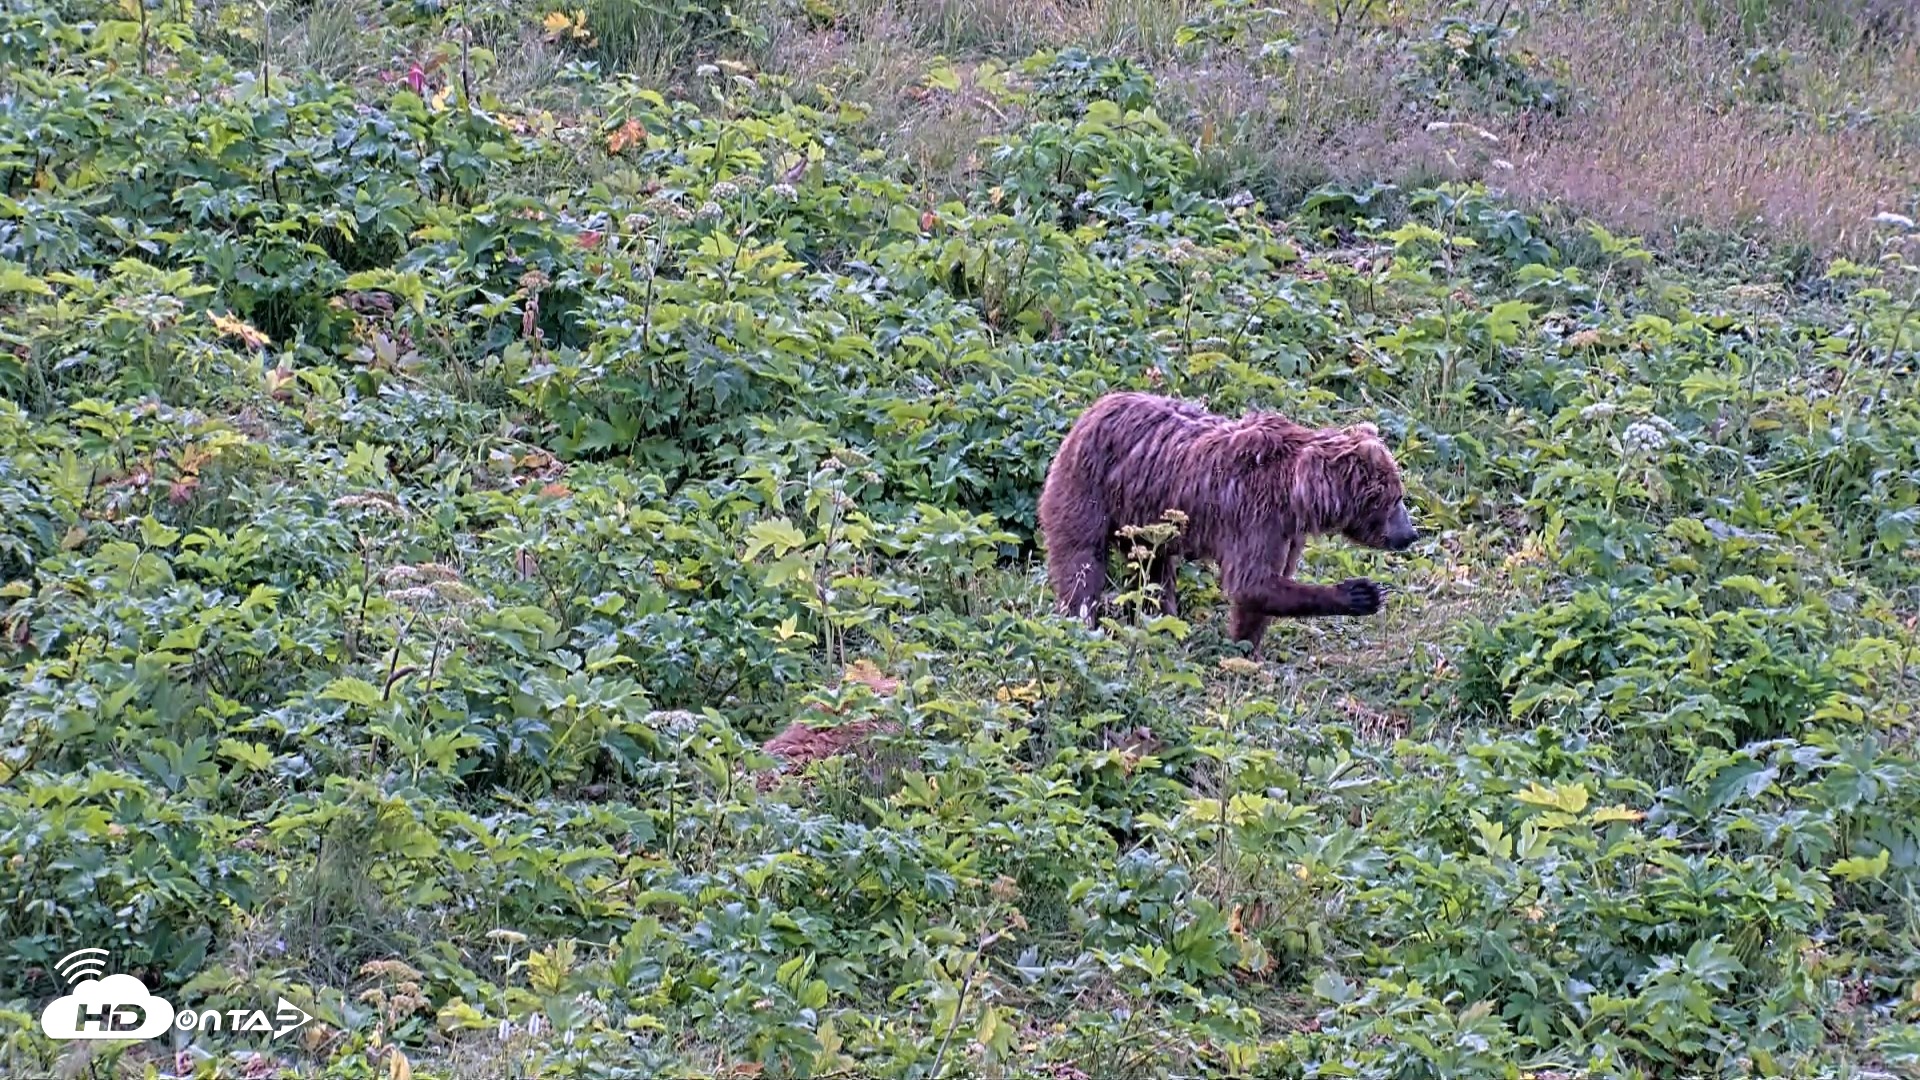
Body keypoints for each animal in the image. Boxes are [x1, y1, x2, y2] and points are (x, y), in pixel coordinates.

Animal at [1036, 391, 1418, 658]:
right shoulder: (1255, 516)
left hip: (1147, 519)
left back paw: (1163, 624)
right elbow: (1251, 582)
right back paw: (1081, 620)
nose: (1410, 534)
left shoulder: (1285, 531)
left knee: (1154, 571)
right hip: (1090, 489)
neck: (1300, 494)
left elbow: (1263, 590)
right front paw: (1361, 593)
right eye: (1396, 498)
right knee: (1081, 561)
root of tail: (1089, 411)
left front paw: (1246, 648)